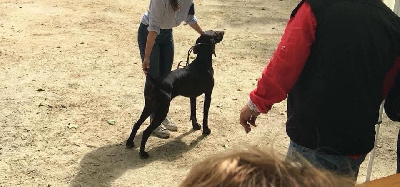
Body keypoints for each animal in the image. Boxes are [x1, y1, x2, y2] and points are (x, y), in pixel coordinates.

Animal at [126, 30, 223, 158]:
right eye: (215, 33)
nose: (223, 32)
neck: (201, 63)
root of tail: (155, 81)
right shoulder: (208, 93)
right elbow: (205, 115)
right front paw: (206, 131)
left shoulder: (193, 96)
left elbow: (193, 113)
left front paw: (195, 126)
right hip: (162, 110)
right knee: (146, 131)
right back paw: (142, 153)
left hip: (149, 106)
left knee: (136, 124)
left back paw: (129, 143)